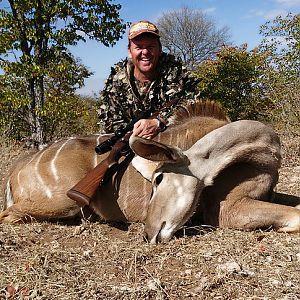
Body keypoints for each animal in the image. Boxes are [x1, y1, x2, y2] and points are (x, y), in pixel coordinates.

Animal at [0, 101, 300, 244]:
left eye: (159, 178)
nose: (148, 233)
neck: (263, 155)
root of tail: (19, 167)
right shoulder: (228, 209)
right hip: (64, 203)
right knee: (8, 215)